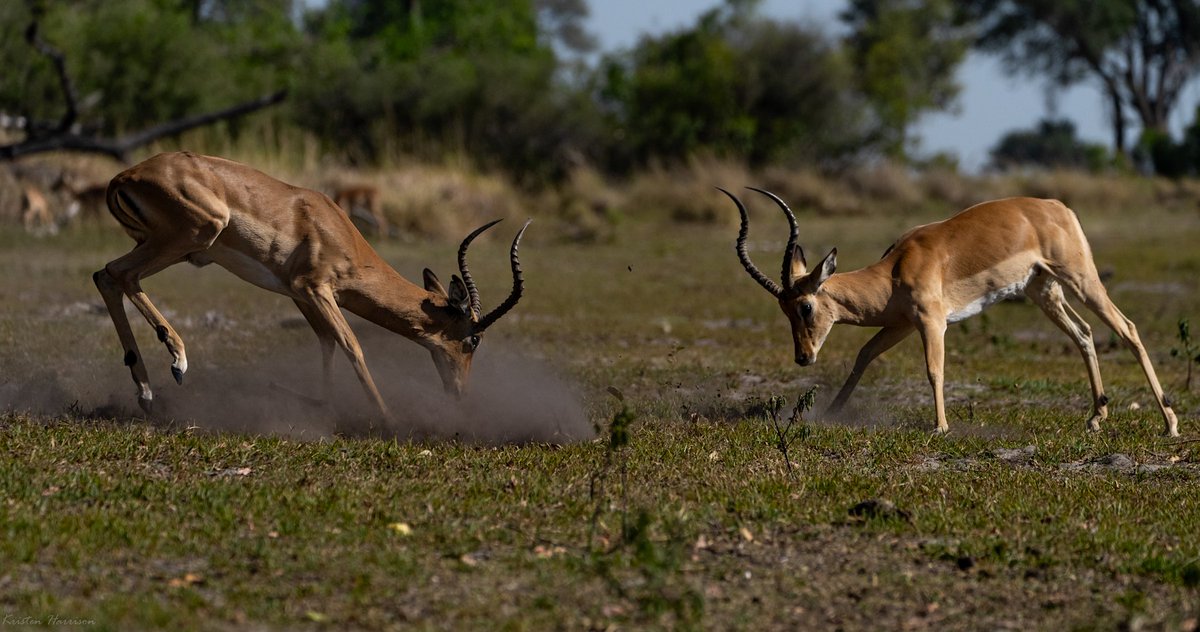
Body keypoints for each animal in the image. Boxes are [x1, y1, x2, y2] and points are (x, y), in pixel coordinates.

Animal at [94, 151, 530, 417]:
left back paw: (146, 392)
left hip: (170, 246)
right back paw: (177, 362)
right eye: (473, 339)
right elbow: (352, 346)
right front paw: (386, 416)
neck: (337, 229)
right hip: (195, 236)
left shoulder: (299, 293)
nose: (460, 394)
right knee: (119, 273)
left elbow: (326, 342)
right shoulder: (317, 288)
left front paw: (315, 402)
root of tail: (124, 176)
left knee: (107, 276)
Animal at [721, 188, 1179, 436]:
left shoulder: (931, 321)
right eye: (783, 309)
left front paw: (941, 427)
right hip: (1043, 291)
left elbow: (934, 370)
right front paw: (833, 412)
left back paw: (1170, 423)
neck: (894, 270)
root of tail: (1058, 207)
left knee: (1128, 328)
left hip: (1080, 278)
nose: (803, 356)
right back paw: (1096, 418)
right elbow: (864, 355)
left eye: (805, 305)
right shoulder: (902, 324)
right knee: (1084, 333)